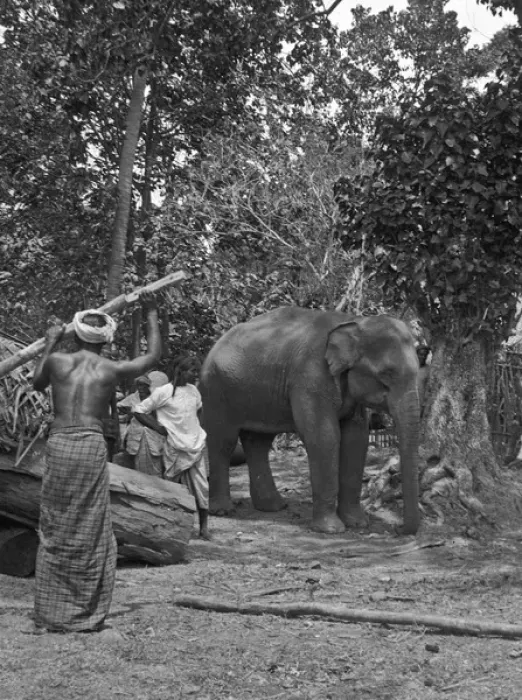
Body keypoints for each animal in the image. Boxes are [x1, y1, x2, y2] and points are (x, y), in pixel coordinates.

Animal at [199, 307, 421, 535]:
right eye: (387, 374)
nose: (397, 529)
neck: (355, 322)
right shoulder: (311, 378)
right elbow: (324, 437)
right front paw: (331, 530)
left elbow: (356, 439)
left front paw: (358, 523)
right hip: (215, 389)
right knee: (223, 441)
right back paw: (224, 510)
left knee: (258, 443)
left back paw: (273, 507)